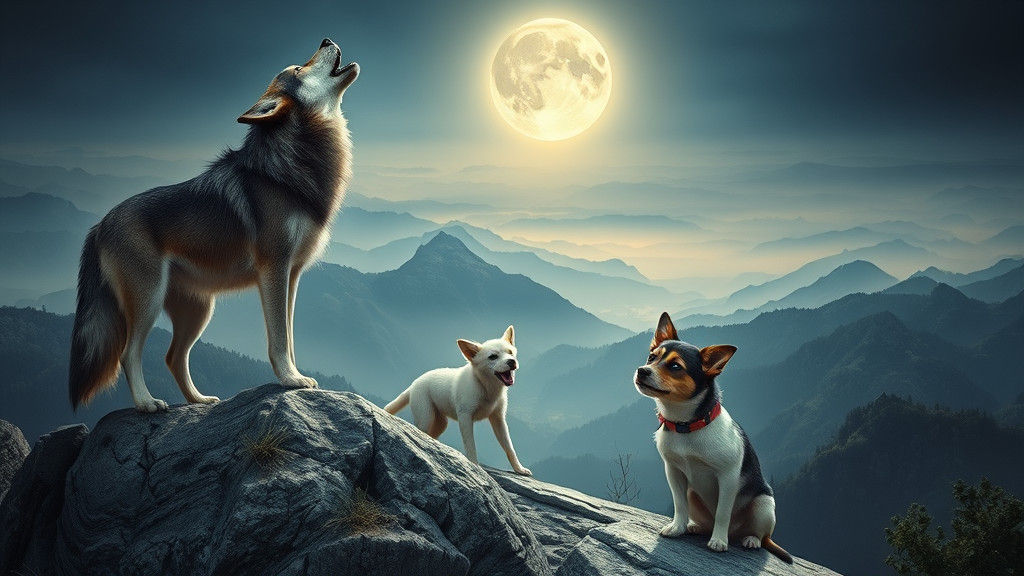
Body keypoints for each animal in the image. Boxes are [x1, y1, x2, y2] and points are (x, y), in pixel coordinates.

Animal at [69, 38, 359, 412]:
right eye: (298, 68)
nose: (326, 40)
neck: (287, 170)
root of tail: (99, 225)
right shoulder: (274, 269)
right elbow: (279, 339)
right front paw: (290, 380)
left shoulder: (292, 275)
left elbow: (291, 337)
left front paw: (296, 376)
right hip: (148, 302)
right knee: (128, 354)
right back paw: (148, 403)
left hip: (199, 311)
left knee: (173, 357)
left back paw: (199, 401)